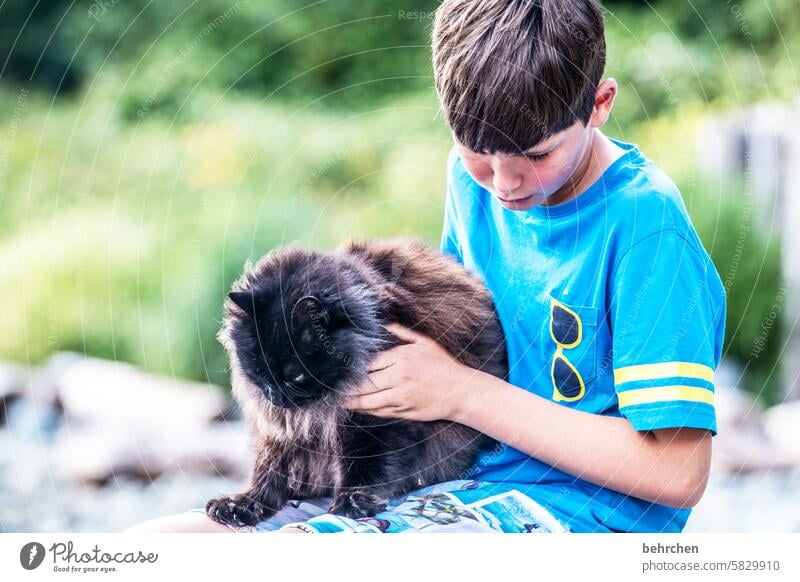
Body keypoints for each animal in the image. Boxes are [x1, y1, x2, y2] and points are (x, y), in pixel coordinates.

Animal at [205, 238, 506, 528]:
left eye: (296, 376)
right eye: (259, 372)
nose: (275, 398)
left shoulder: (376, 421)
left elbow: (366, 468)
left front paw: (352, 504)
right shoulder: (280, 431)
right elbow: (268, 471)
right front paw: (243, 505)